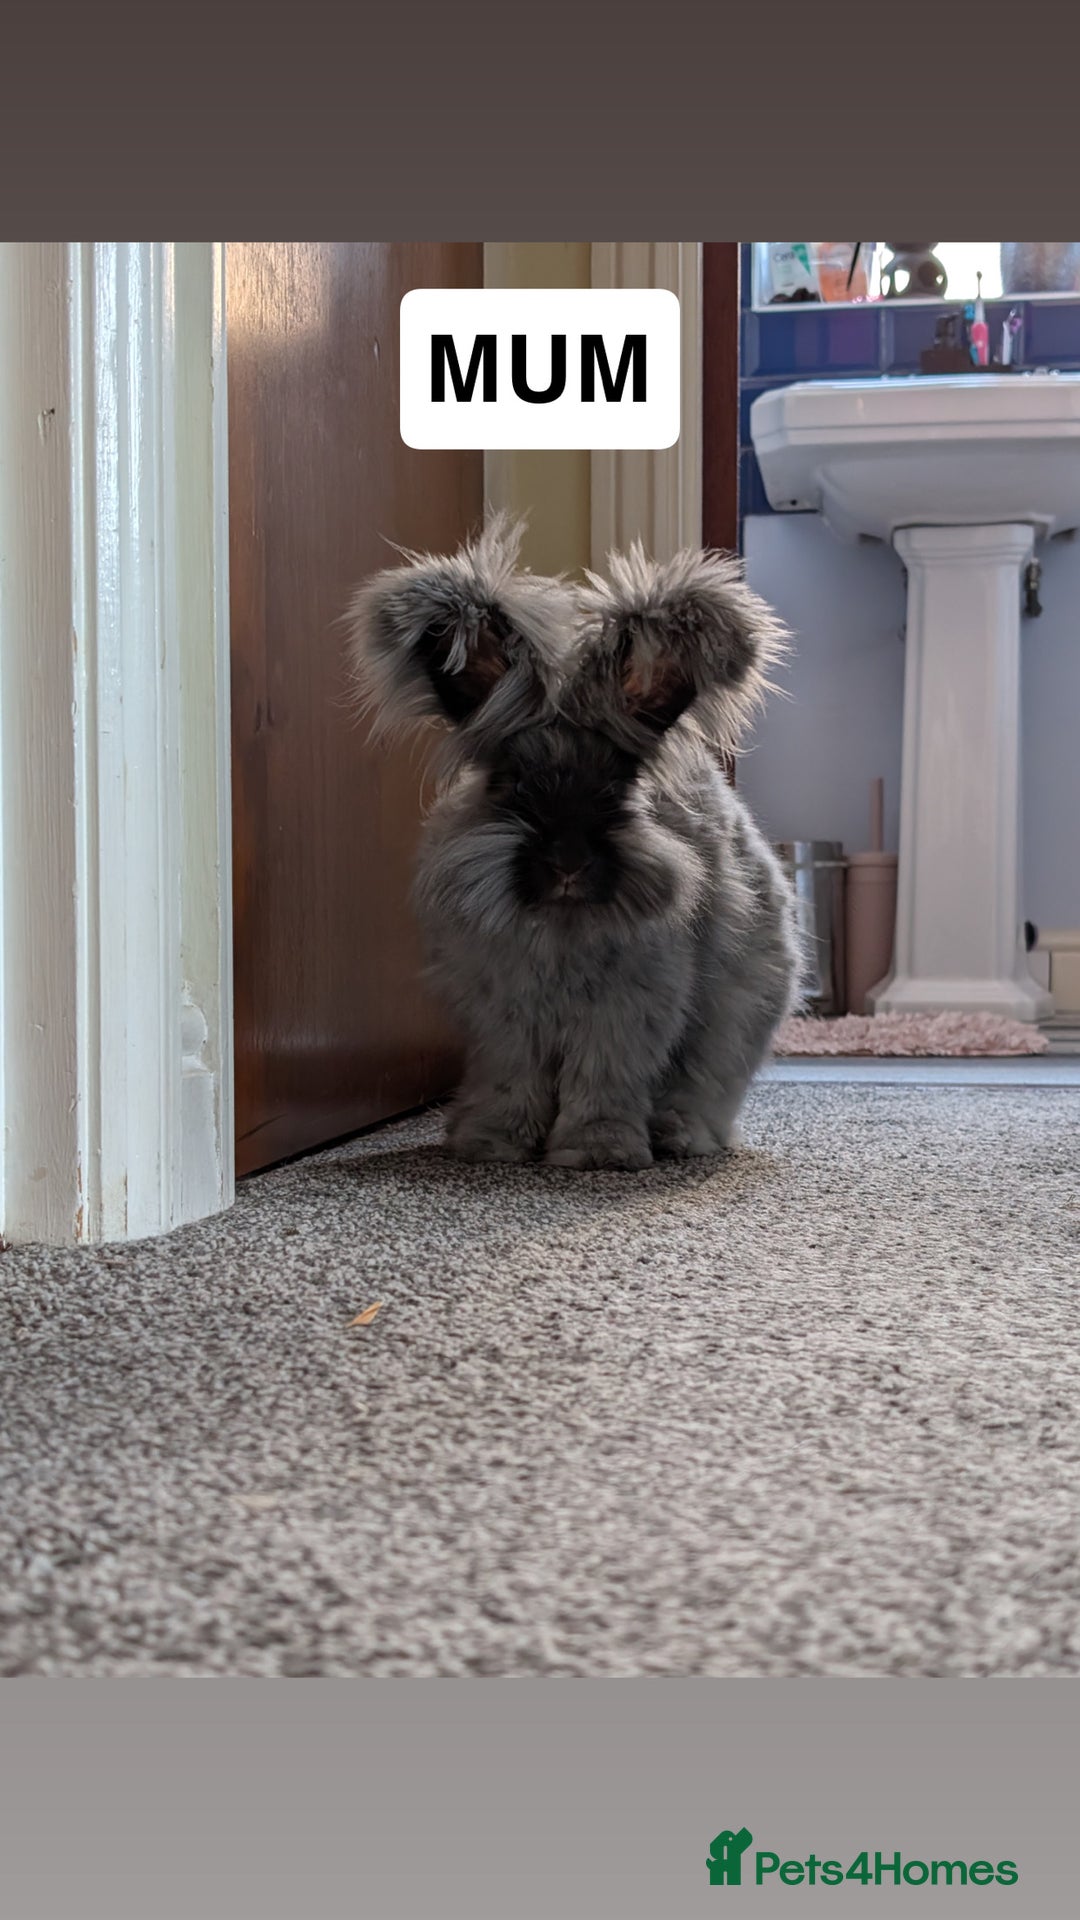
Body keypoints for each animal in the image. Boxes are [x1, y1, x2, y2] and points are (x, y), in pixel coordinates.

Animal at [347, 517, 800, 1170]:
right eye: (511, 785)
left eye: (615, 789)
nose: (567, 865)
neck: (562, 926)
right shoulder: (503, 1022)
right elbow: (512, 1082)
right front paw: (491, 1145)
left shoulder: (625, 1016)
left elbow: (604, 1080)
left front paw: (597, 1152)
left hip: (741, 1015)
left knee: (705, 1093)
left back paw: (679, 1137)